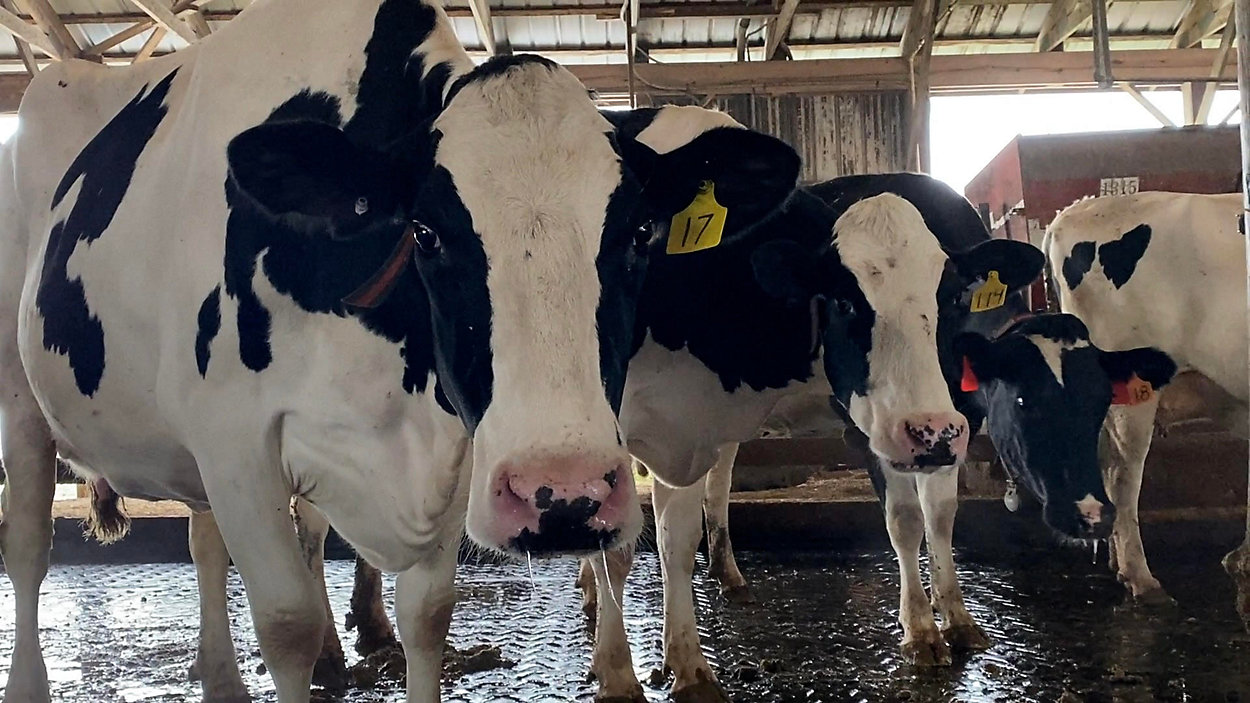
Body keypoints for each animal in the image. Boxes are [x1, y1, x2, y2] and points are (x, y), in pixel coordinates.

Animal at [0, 0, 801, 701]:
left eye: (639, 234)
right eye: (426, 232)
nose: (564, 493)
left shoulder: (455, 446)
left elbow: (427, 617)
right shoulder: (236, 445)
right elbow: (287, 623)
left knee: (201, 543)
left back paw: (221, 679)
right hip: (23, 404)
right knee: (30, 548)